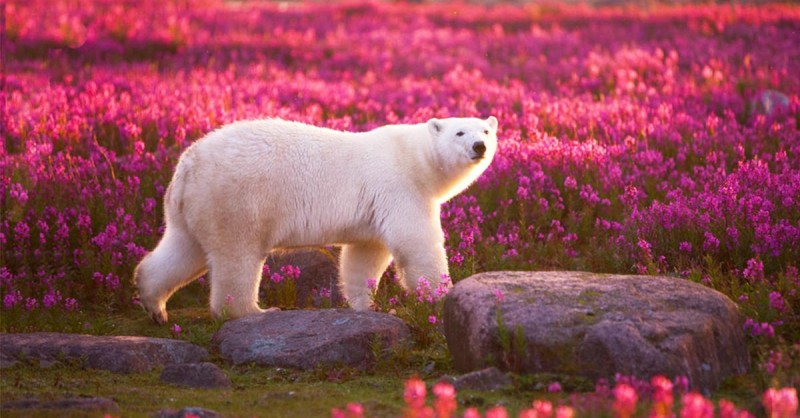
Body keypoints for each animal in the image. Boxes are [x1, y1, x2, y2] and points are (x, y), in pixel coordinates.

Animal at [134, 116, 496, 324]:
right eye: (460, 132)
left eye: (486, 130)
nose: (479, 146)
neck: (416, 158)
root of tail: (187, 165)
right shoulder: (400, 188)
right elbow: (417, 244)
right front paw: (437, 297)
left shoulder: (375, 209)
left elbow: (364, 256)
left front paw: (368, 305)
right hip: (237, 200)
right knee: (237, 257)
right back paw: (253, 311)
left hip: (194, 207)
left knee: (183, 249)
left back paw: (155, 306)